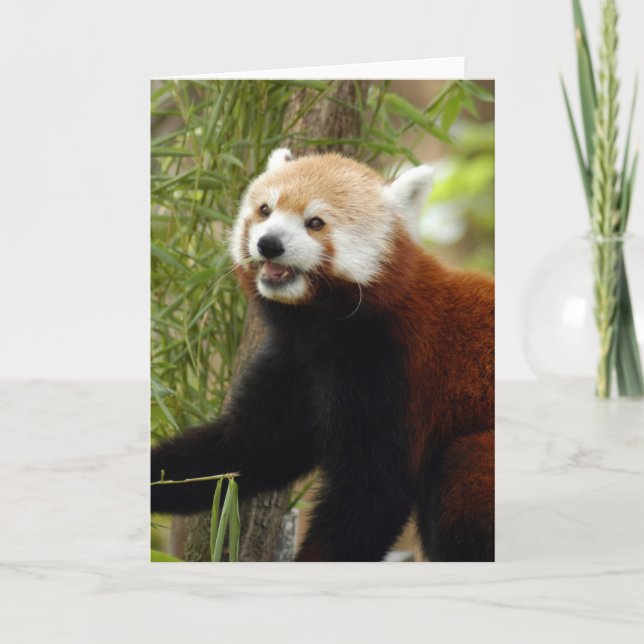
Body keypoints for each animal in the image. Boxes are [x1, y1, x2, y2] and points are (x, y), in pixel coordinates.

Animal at [151, 149, 494, 561]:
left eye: (315, 222)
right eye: (265, 210)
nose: (269, 243)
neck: (322, 330)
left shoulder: (395, 375)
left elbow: (371, 495)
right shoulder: (295, 363)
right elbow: (248, 447)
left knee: (465, 472)